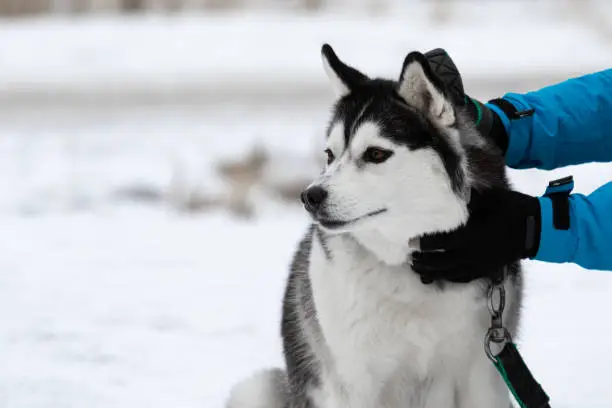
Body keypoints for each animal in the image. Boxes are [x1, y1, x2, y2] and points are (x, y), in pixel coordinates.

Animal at [227, 44, 524, 408]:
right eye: (330, 154)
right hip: (255, 389)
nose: (309, 196)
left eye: (376, 154)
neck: (411, 267)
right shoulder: (356, 381)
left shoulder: (481, 375)